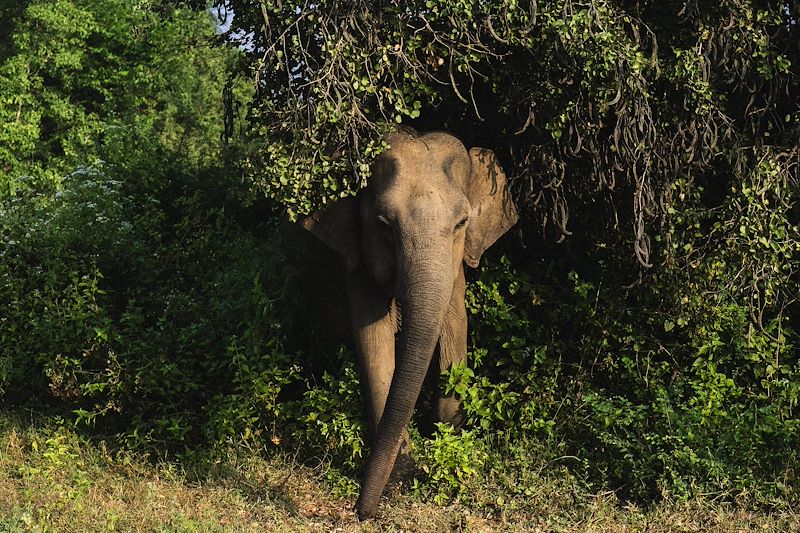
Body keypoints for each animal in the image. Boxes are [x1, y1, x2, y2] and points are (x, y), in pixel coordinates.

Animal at [301, 129, 517, 519]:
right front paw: (402, 472)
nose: (361, 512)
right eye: (383, 226)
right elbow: (373, 340)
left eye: (462, 223)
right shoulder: (357, 259)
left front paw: (445, 438)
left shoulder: (456, 266)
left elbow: (455, 326)